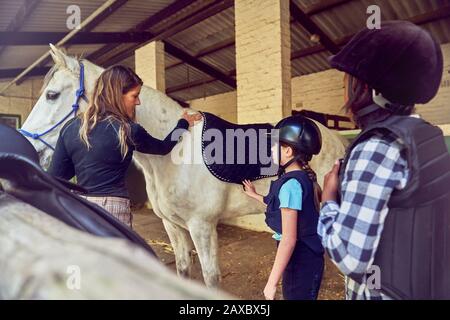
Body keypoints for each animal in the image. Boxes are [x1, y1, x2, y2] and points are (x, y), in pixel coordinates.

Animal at [20, 45, 344, 288]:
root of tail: (336, 140)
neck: (175, 154)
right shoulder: (172, 226)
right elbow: (183, 269)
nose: (30, 148)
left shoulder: (202, 227)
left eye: (51, 95)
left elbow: (211, 279)